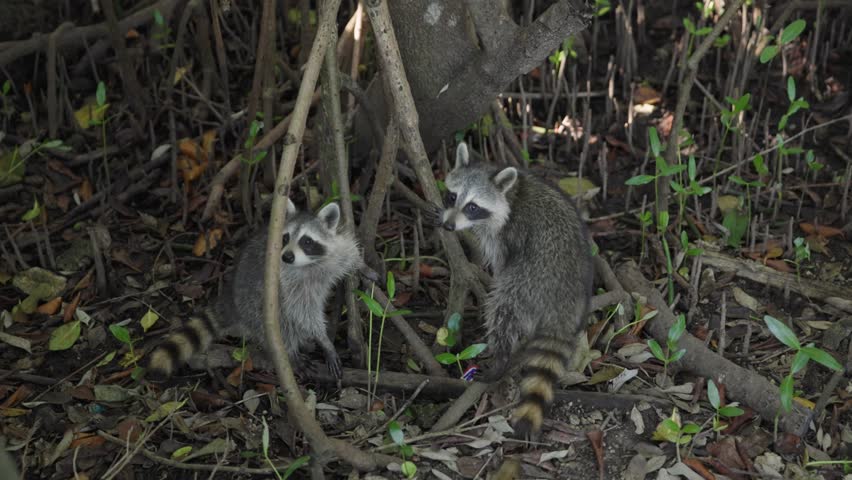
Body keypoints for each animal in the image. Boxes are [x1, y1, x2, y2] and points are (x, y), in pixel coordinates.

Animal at [147, 199, 362, 381]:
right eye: (285, 238)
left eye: (306, 241)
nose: (287, 257)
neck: (310, 263)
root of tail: (231, 297)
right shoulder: (289, 284)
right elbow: (303, 313)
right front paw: (323, 340)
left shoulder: (336, 252)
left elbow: (350, 254)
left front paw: (362, 268)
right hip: (254, 304)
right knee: (280, 323)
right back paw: (290, 352)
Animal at [440, 143, 594, 435]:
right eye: (451, 197)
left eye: (473, 207)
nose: (448, 226)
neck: (510, 193)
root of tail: (564, 301)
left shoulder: (507, 233)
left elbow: (502, 264)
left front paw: (493, 275)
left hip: (531, 279)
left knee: (505, 306)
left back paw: (501, 356)